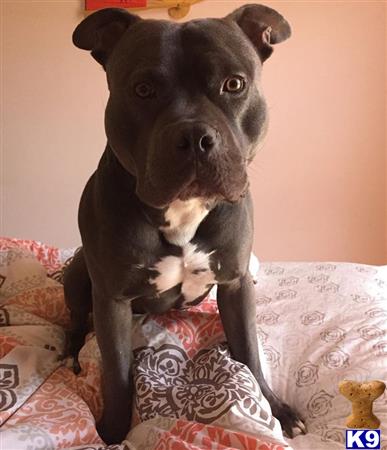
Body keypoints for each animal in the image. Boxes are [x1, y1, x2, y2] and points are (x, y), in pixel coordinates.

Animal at [64, 3, 306, 444]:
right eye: (143, 89)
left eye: (234, 84)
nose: (194, 136)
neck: (182, 209)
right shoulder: (111, 300)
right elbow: (116, 371)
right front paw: (112, 430)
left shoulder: (236, 282)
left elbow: (248, 352)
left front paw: (275, 409)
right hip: (76, 273)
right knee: (73, 323)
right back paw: (71, 352)